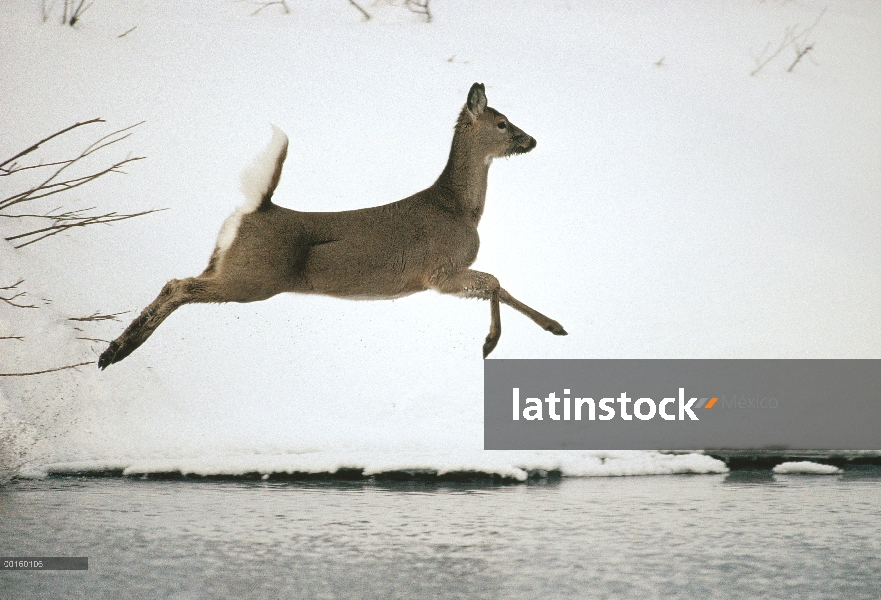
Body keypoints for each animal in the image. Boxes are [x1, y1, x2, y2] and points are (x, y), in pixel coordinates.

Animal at [96, 82, 564, 368]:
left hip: (225, 265)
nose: (531, 140)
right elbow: (495, 282)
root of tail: (257, 207)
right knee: (178, 286)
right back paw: (115, 352)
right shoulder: (439, 271)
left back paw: (113, 352)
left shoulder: (441, 276)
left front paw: (551, 327)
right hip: (252, 278)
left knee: (175, 282)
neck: (458, 209)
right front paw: (493, 343)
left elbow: (500, 285)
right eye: (502, 123)